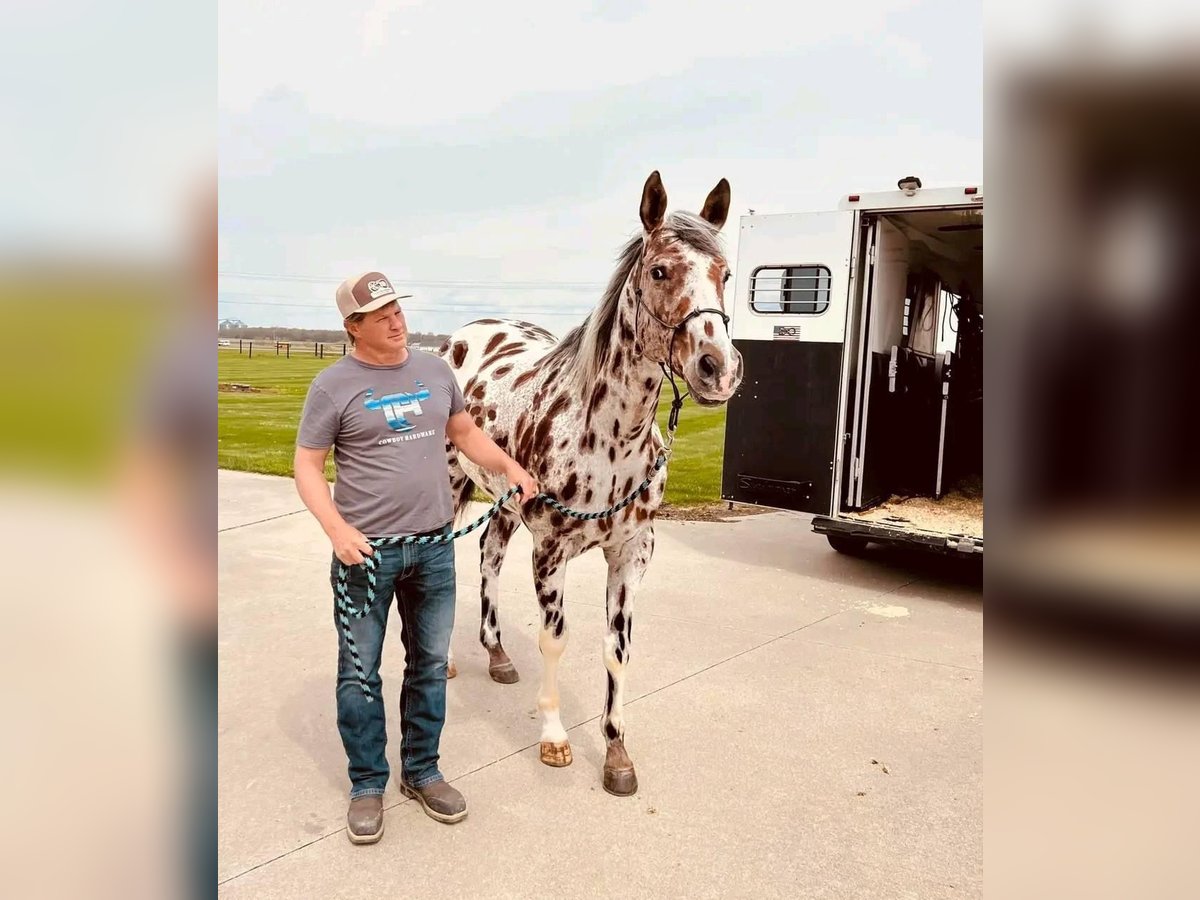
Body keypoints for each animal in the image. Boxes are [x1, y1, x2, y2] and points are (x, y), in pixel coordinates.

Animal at [436, 171, 744, 795]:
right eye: (660, 271)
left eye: (725, 274)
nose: (718, 369)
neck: (608, 436)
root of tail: (464, 334)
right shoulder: (551, 549)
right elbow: (555, 639)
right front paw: (554, 739)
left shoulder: (631, 552)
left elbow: (617, 650)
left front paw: (617, 752)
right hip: (456, 484)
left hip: (504, 505)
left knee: (488, 556)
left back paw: (497, 655)